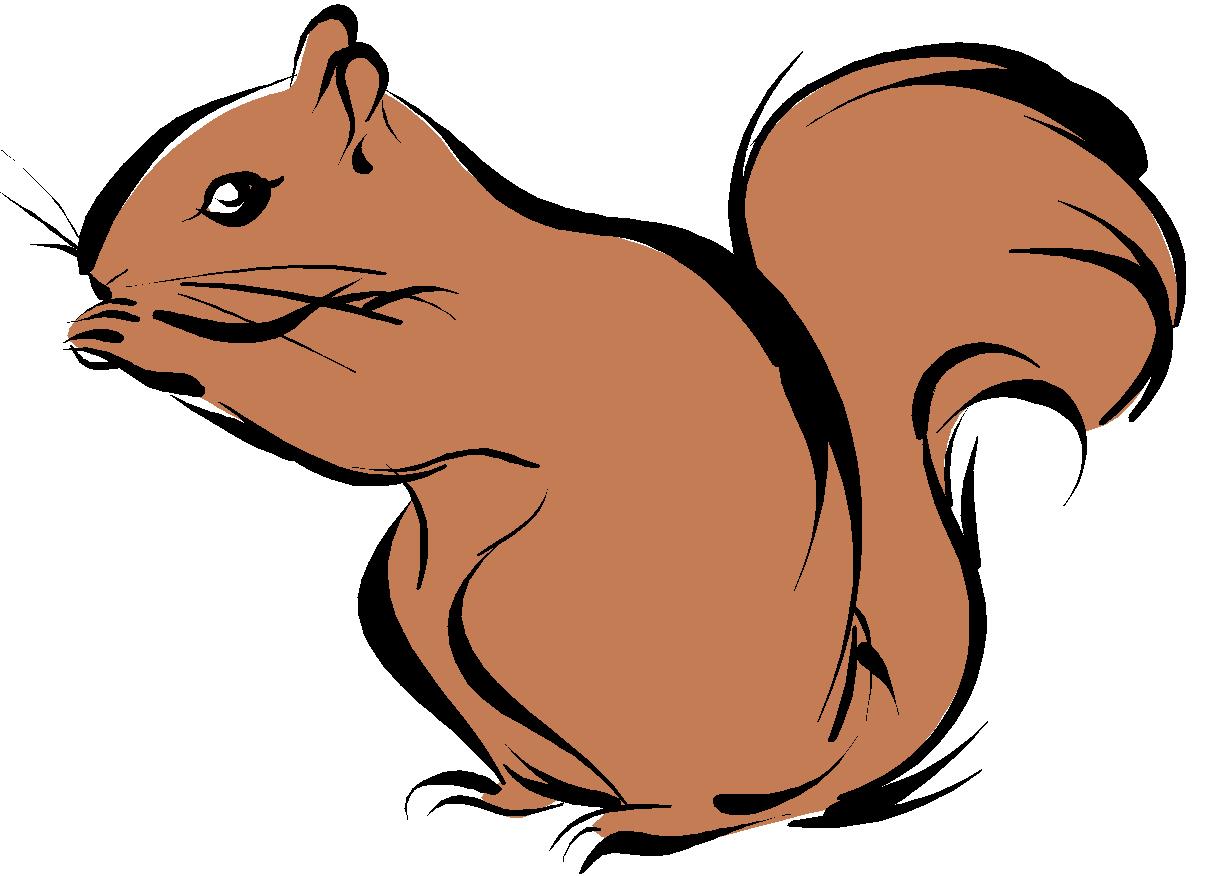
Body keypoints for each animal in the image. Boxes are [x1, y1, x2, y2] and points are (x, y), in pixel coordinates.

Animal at [51, 4, 1182, 866]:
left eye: (235, 197)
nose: (102, 275)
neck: (438, 243)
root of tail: (844, 724)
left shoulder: (468, 349)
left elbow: (355, 408)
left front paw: (135, 332)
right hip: (409, 605)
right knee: (559, 777)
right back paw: (494, 801)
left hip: (531, 615)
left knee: (753, 802)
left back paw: (644, 827)